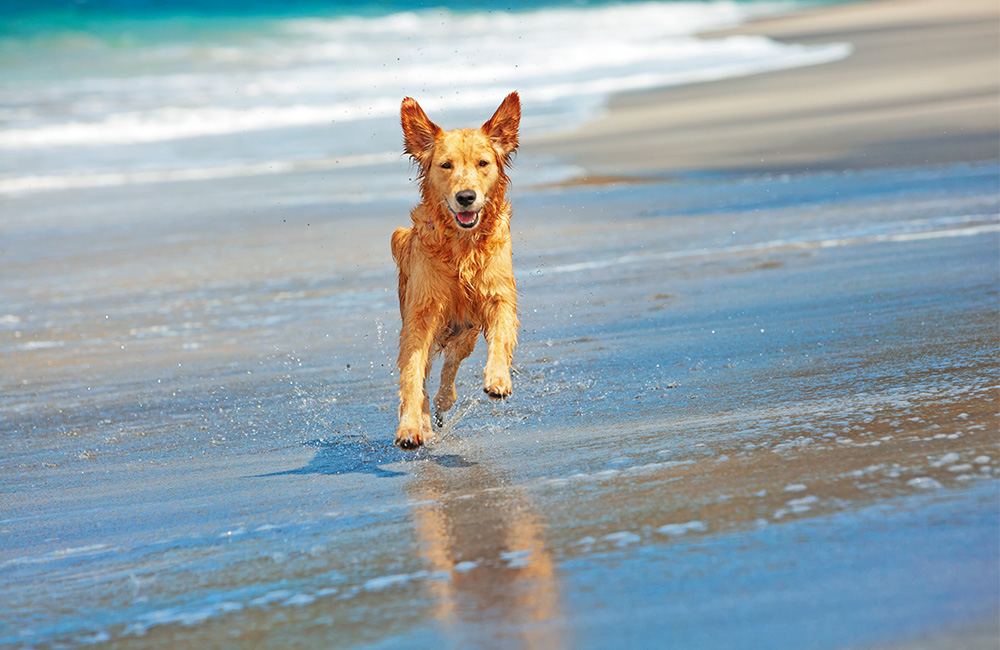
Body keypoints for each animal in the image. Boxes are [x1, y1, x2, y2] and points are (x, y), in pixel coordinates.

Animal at [388, 91, 520, 448]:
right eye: (445, 165)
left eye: (483, 163)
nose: (466, 197)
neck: (461, 246)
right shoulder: (421, 314)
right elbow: (412, 373)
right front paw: (410, 427)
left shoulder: (497, 296)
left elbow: (501, 336)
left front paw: (498, 379)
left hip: (466, 333)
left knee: (450, 369)